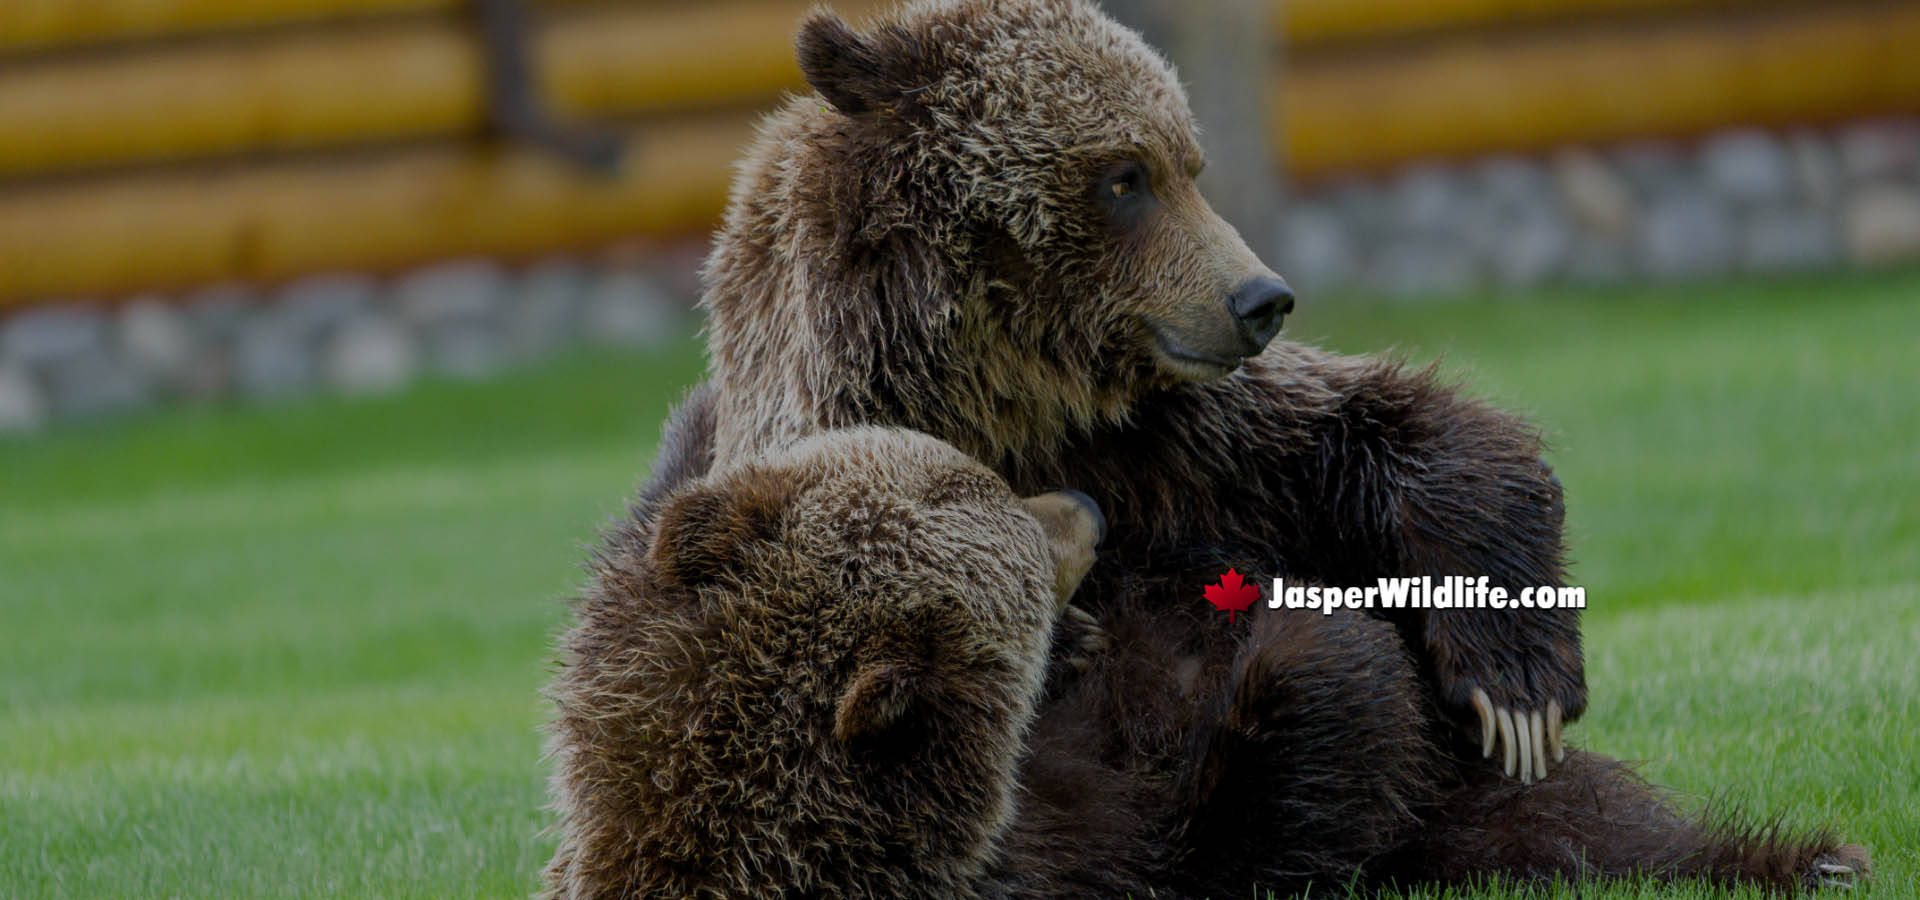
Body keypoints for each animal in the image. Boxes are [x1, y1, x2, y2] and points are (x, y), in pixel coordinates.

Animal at [545, 424, 1868, 898]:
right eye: (1009, 524)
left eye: (971, 470)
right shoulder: (1088, 858)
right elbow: (1265, 818)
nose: (1084, 499)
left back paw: (1808, 855)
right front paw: (1324, 647)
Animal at [692, 0, 1579, 776]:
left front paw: (1514, 694)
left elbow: (1381, 426)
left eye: (1188, 166)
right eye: (1124, 178)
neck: (1007, 392)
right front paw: (1075, 638)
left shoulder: (1176, 436)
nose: (1262, 299)